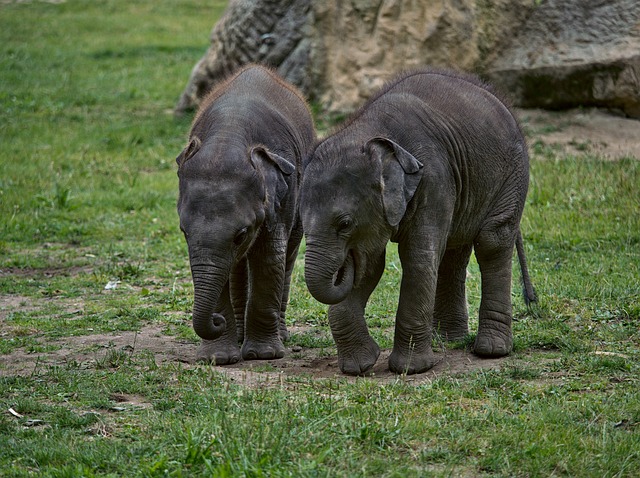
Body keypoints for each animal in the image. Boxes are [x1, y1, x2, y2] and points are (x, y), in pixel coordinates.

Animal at [175, 65, 316, 364]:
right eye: (184, 231)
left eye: (241, 234)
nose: (216, 321)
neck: (229, 135)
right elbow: (220, 267)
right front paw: (218, 358)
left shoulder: (283, 195)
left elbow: (269, 258)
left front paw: (264, 355)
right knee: (237, 267)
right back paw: (239, 334)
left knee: (287, 256)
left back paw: (280, 335)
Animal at [298, 67, 536, 376]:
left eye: (345, 224)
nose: (344, 262)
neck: (369, 133)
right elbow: (371, 264)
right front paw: (359, 366)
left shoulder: (433, 179)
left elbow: (417, 258)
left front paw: (410, 369)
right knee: (454, 250)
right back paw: (448, 340)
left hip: (513, 174)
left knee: (492, 241)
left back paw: (490, 351)